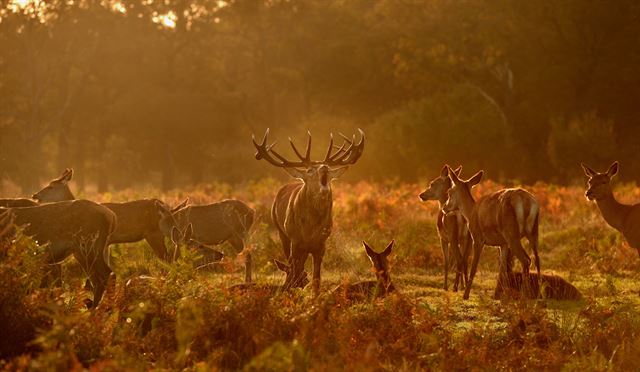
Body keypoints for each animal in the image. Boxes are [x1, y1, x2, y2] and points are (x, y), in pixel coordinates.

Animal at [31, 169, 186, 262]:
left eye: (51, 186)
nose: (35, 195)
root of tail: (168, 207)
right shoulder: (107, 243)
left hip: (154, 233)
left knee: (167, 257)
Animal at [254, 128, 364, 296]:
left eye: (328, 168)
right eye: (310, 169)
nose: (324, 167)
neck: (310, 228)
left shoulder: (321, 243)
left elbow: (317, 278)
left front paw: (314, 296)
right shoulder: (295, 240)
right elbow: (294, 268)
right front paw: (292, 288)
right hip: (281, 232)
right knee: (290, 262)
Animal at [442, 166, 544, 300]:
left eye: (449, 192)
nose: (444, 207)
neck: (470, 214)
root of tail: (526, 202)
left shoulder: (477, 237)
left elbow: (474, 266)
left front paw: (466, 295)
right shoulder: (503, 243)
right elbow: (502, 269)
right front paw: (497, 295)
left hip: (511, 233)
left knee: (526, 260)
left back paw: (524, 296)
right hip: (533, 231)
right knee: (537, 260)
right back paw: (540, 296)